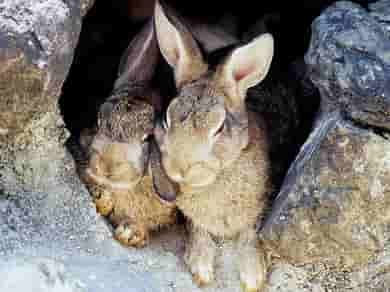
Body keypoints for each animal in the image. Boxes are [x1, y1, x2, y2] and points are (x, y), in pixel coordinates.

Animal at [154, 1, 272, 290]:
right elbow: (198, 229)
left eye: (219, 128)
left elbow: (249, 232)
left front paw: (253, 276)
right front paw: (201, 269)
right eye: (166, 119)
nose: (180, 169)